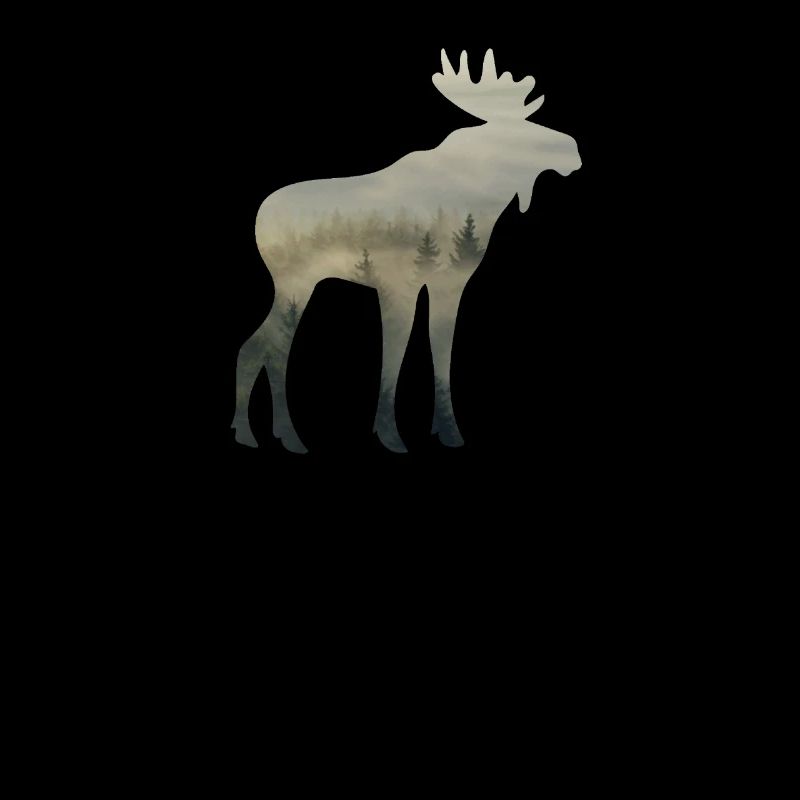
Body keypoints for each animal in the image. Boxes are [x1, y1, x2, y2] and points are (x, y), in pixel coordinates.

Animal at [233, 49, 581, 453]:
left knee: (264, 349)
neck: (479, 203)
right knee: (266, 350)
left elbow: (441, 353)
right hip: (294, 284)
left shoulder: (451, 284)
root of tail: (258, 219)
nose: (574, 150)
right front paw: (390, 435)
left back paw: (268, 434)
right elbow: (393, 357)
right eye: (516, 130)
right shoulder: (395, 284)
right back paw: (274, 435)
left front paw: (448, 432)